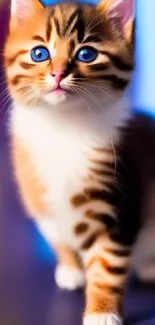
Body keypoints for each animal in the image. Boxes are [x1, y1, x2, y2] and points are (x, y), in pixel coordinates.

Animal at [4, 0, 134, 322]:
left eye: (87, 54)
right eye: (40, 53)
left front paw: (102, 311)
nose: (59, 74)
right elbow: (56, 235)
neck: (64, 124)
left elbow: (108, 262)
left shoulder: (117, 199)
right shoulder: (37, 195)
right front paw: (71, 269)